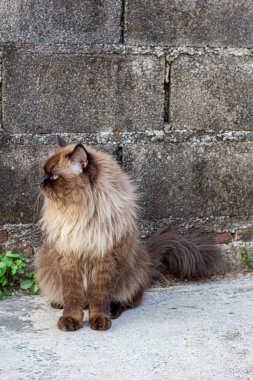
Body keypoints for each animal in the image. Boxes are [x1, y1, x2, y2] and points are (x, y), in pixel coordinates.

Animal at [36, 136, 225, 330]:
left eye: (54, 177)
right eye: (44, 173)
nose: (41, 182)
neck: (79, 214)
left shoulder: (104, 259)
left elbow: (99, 297)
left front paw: (99, 320)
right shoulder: (69, 257)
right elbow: (73, 297)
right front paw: (70, 321)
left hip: (132, 272)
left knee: (129, 299)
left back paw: (113, 311)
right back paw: (58, 304)